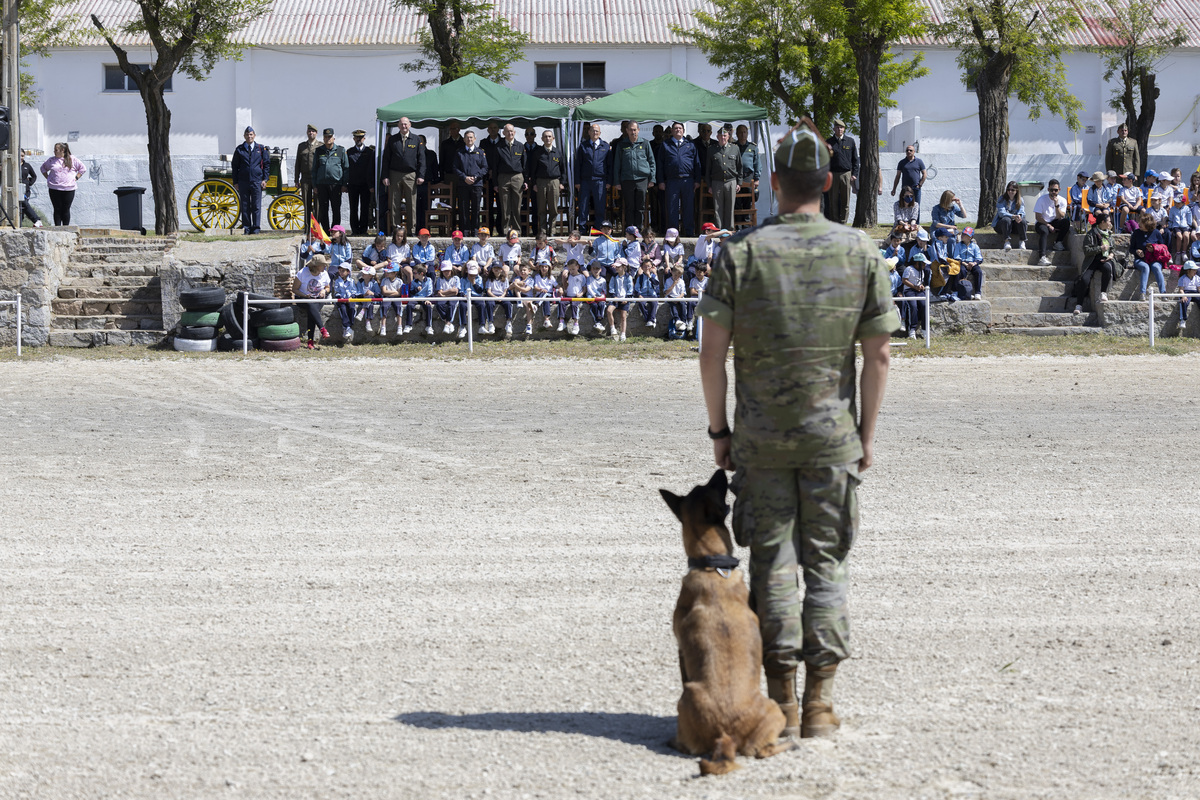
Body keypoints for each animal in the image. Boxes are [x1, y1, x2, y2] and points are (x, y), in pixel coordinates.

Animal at [662, 470, 792, 777]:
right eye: (713, 486)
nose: (722, 471)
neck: (711, 566)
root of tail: (726, 734)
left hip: (687, 695)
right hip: (774, 709)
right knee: (760, 751)